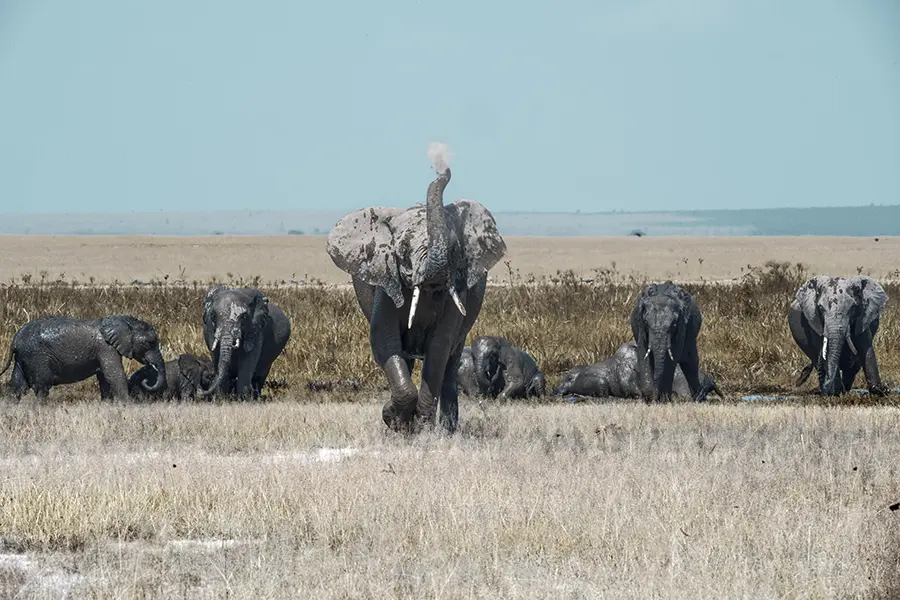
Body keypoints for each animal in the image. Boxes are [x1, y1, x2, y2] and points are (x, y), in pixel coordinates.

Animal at [0, 314, 167, 404]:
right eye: (149, 343)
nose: (147, 379)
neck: (124, 321)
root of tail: (15, 339)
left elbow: (104, 378)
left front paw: (107, 405)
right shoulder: (106, 348)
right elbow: (114, 375)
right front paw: (129, 405)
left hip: (22, 358)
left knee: (18, 386)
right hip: (36, 358)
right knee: (41, 387)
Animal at [326, 142, 510, 432]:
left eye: (455, 250)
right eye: (402, 250)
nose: (440, 164)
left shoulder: (457, 291)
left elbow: (439, 347)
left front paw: (420, 426)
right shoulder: (386, 283)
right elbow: (384, 340)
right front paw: (394, 421)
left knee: (451, 362)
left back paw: (448, 429)